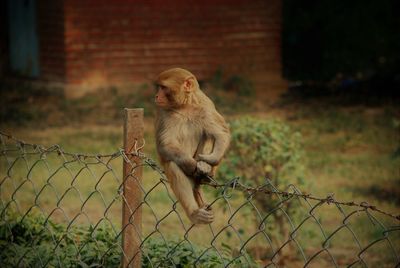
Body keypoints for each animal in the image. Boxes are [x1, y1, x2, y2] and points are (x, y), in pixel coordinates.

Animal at [154, 67, 230, 224]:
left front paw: (211, 160)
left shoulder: (205, 105)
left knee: (208, 132)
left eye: (163, 87)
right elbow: (165, 145)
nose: (157, 96)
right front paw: (191, 165)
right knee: (173, 165)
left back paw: (206, 169)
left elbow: (221, 133)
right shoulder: (163, 112)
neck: (185, 106)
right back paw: (194, 213)